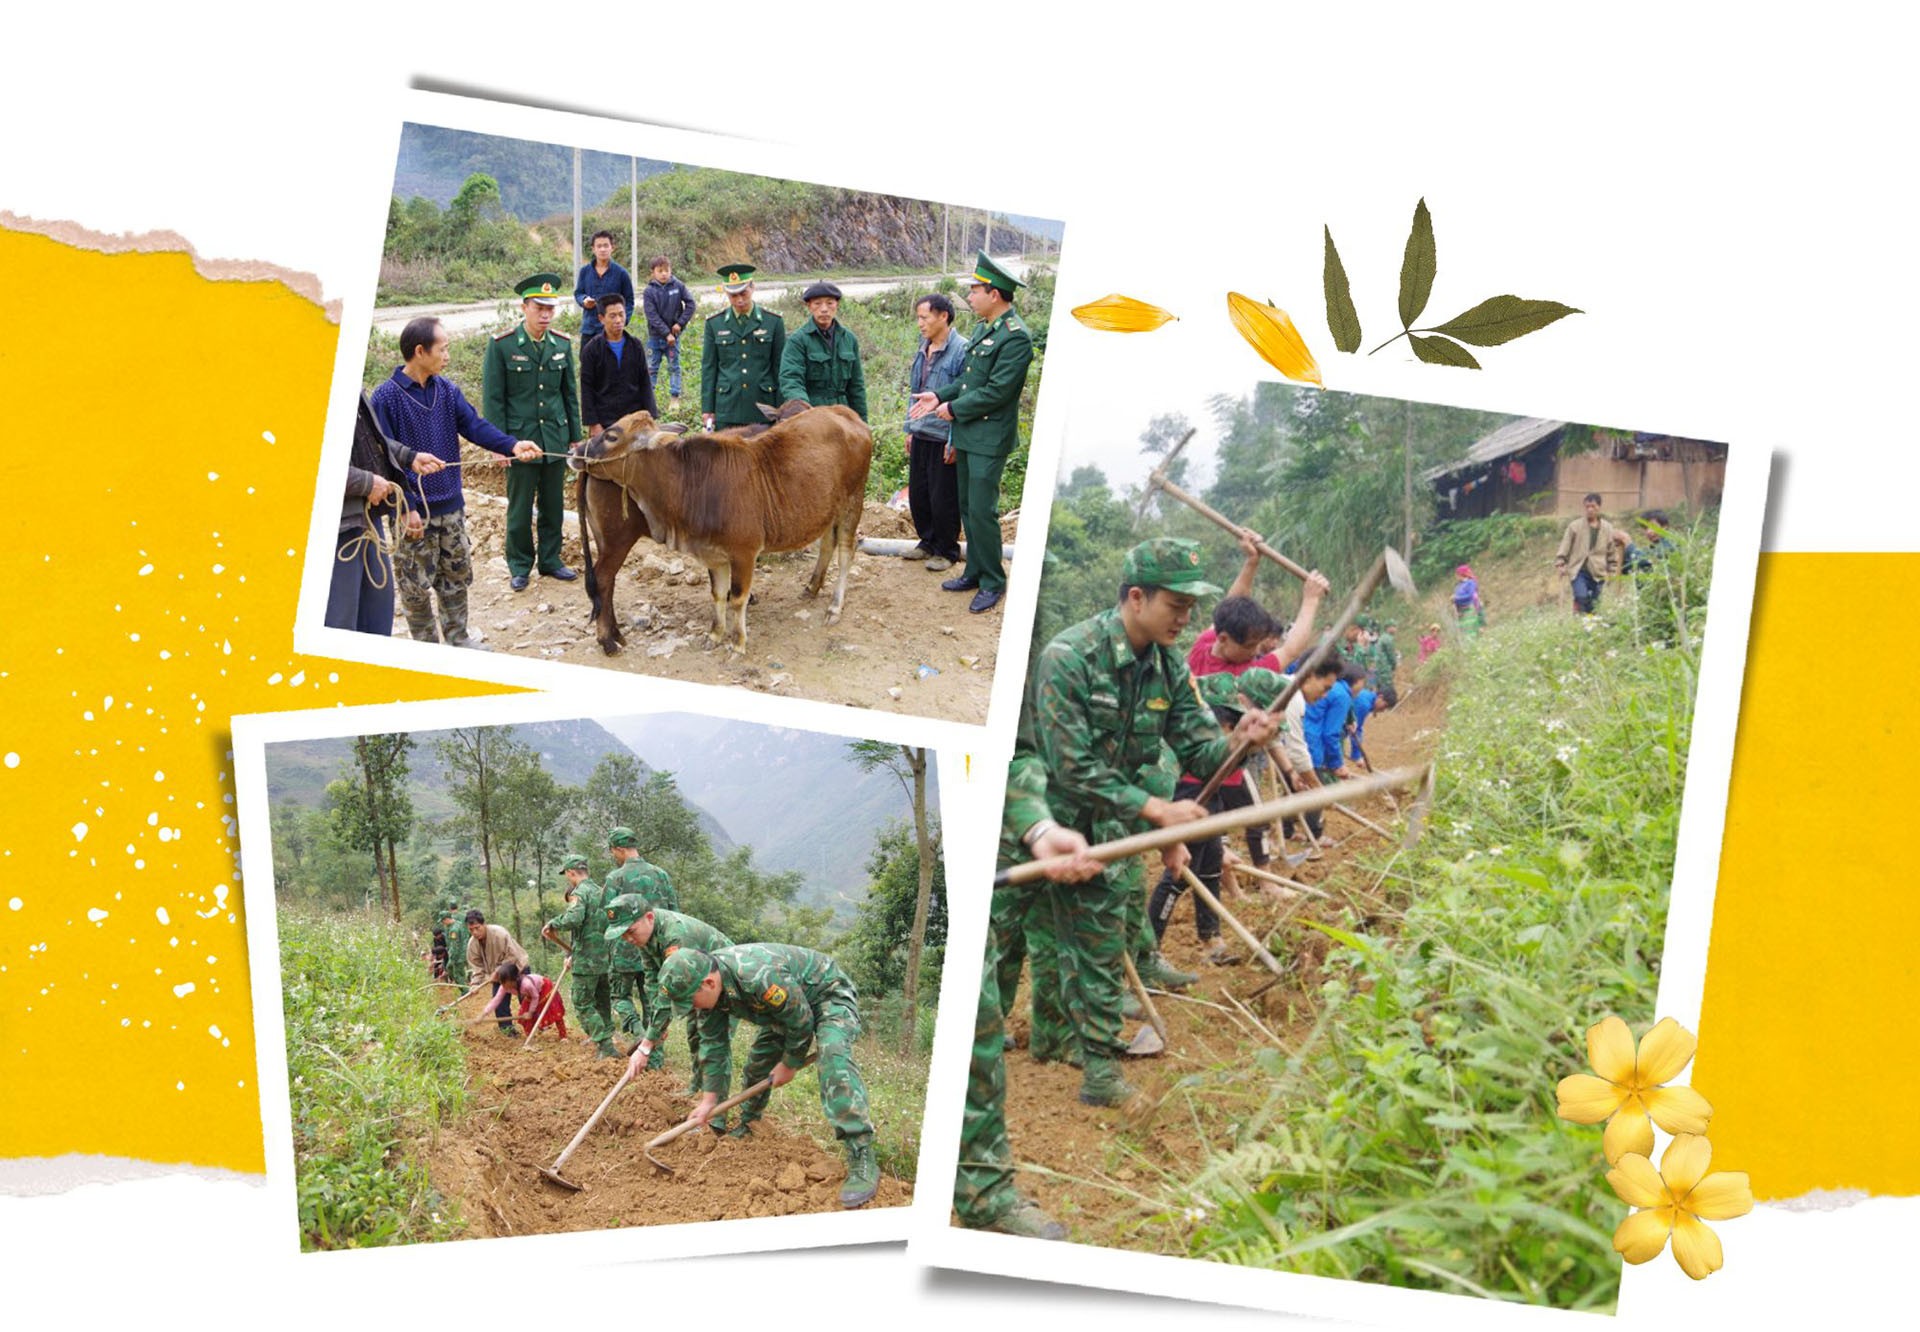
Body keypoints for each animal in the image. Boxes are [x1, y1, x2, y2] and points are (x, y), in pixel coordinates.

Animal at [568, 406, 871, 656]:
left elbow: (737, 597)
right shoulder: (713, 553)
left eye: (611, 435)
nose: (574, 451)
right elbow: (717, 594)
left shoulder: (744, 553)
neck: (692, 480)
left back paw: (834, 606)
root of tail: (846, 413)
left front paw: (738, 642)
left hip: (852, 503)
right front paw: (714, 634)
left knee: (846, 553)